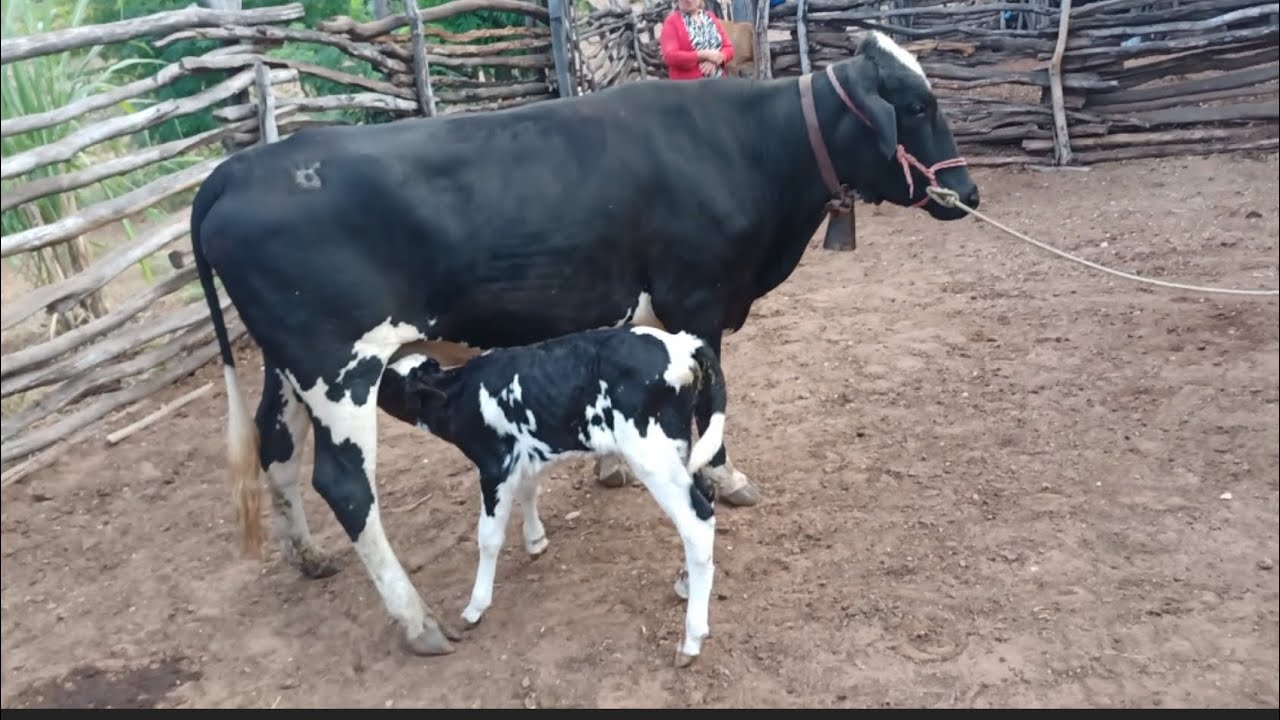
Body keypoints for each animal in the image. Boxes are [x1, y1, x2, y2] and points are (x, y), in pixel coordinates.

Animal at [376, 324, 728, 666]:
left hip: (651, 455)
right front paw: (535, 540)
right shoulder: (525, 455)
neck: (460, 395)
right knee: (705, 494)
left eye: (388, 383)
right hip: (679, 446)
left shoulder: (495, 467)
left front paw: (475, 607)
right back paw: (685, 583)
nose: (368, 385)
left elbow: (488, 537)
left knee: (696, 522)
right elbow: (529, 490)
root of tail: (683, 343)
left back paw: (692, 639)